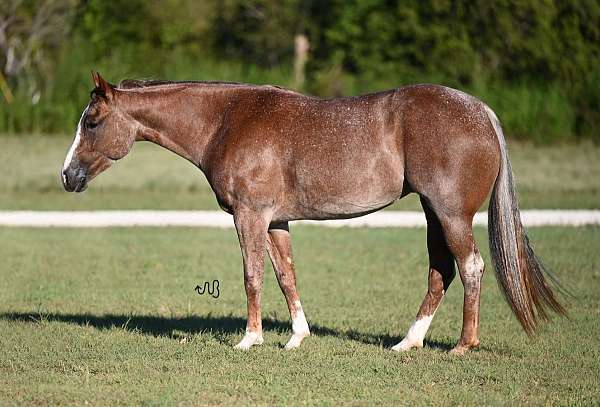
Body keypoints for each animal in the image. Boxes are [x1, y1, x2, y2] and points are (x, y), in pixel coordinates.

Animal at [61, 72, 564, 354]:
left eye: (92, 122)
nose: (68, 176)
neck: (226, 120)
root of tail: (479, 110)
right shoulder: (275, 221)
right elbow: (286, 276)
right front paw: (295, 338)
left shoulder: (250, 216)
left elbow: (253, 276)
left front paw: (250, 339)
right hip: (432, 213)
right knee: (442, 271)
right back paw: (407, 342)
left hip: (450, 214)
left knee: (471, 266)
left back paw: (462, 346)